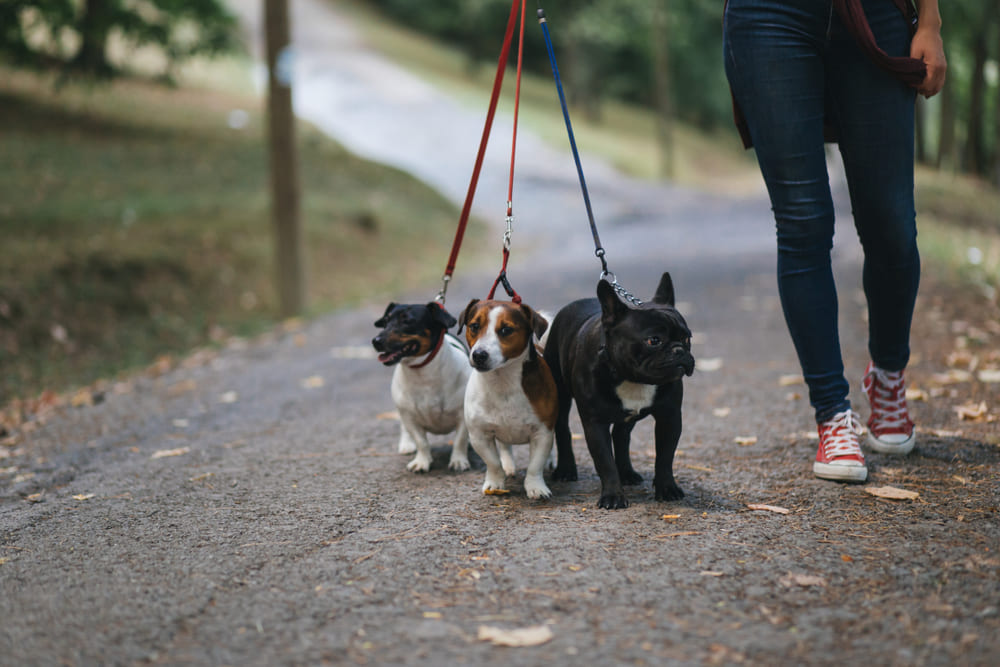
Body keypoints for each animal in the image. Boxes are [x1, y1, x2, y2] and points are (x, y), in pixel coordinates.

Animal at [374, 302, 470, 470]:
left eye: (407, 321)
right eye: (385, 321)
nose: (375, 341)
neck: (423, 373)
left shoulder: (462, 416)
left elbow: (460, 440)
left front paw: (458, 461)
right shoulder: (410, 418)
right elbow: (421, 442)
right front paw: (422, 462)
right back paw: (406, 444)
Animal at [458, 300, 560, 498]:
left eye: (506, 330)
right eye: (474, 326)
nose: (479, 355)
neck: (502, 380)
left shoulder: (542, 432)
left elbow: (535, 465)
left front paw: (536, 487)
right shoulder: (479, 435)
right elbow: (493, 463)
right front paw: (495, 482)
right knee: (505, 446)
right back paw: (508, 465)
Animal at [540, 274, 696, 508]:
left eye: (687, 338)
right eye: (654, 340)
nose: (679, 350)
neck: (632, 379)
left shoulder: (669, 418)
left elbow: (665, 457)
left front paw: (667, 488)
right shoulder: (595, 424)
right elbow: (605, 461)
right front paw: (613, 495)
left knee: (622, 436)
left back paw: (627, 473)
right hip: (560, 391)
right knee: (563, 429)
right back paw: (566, 469)